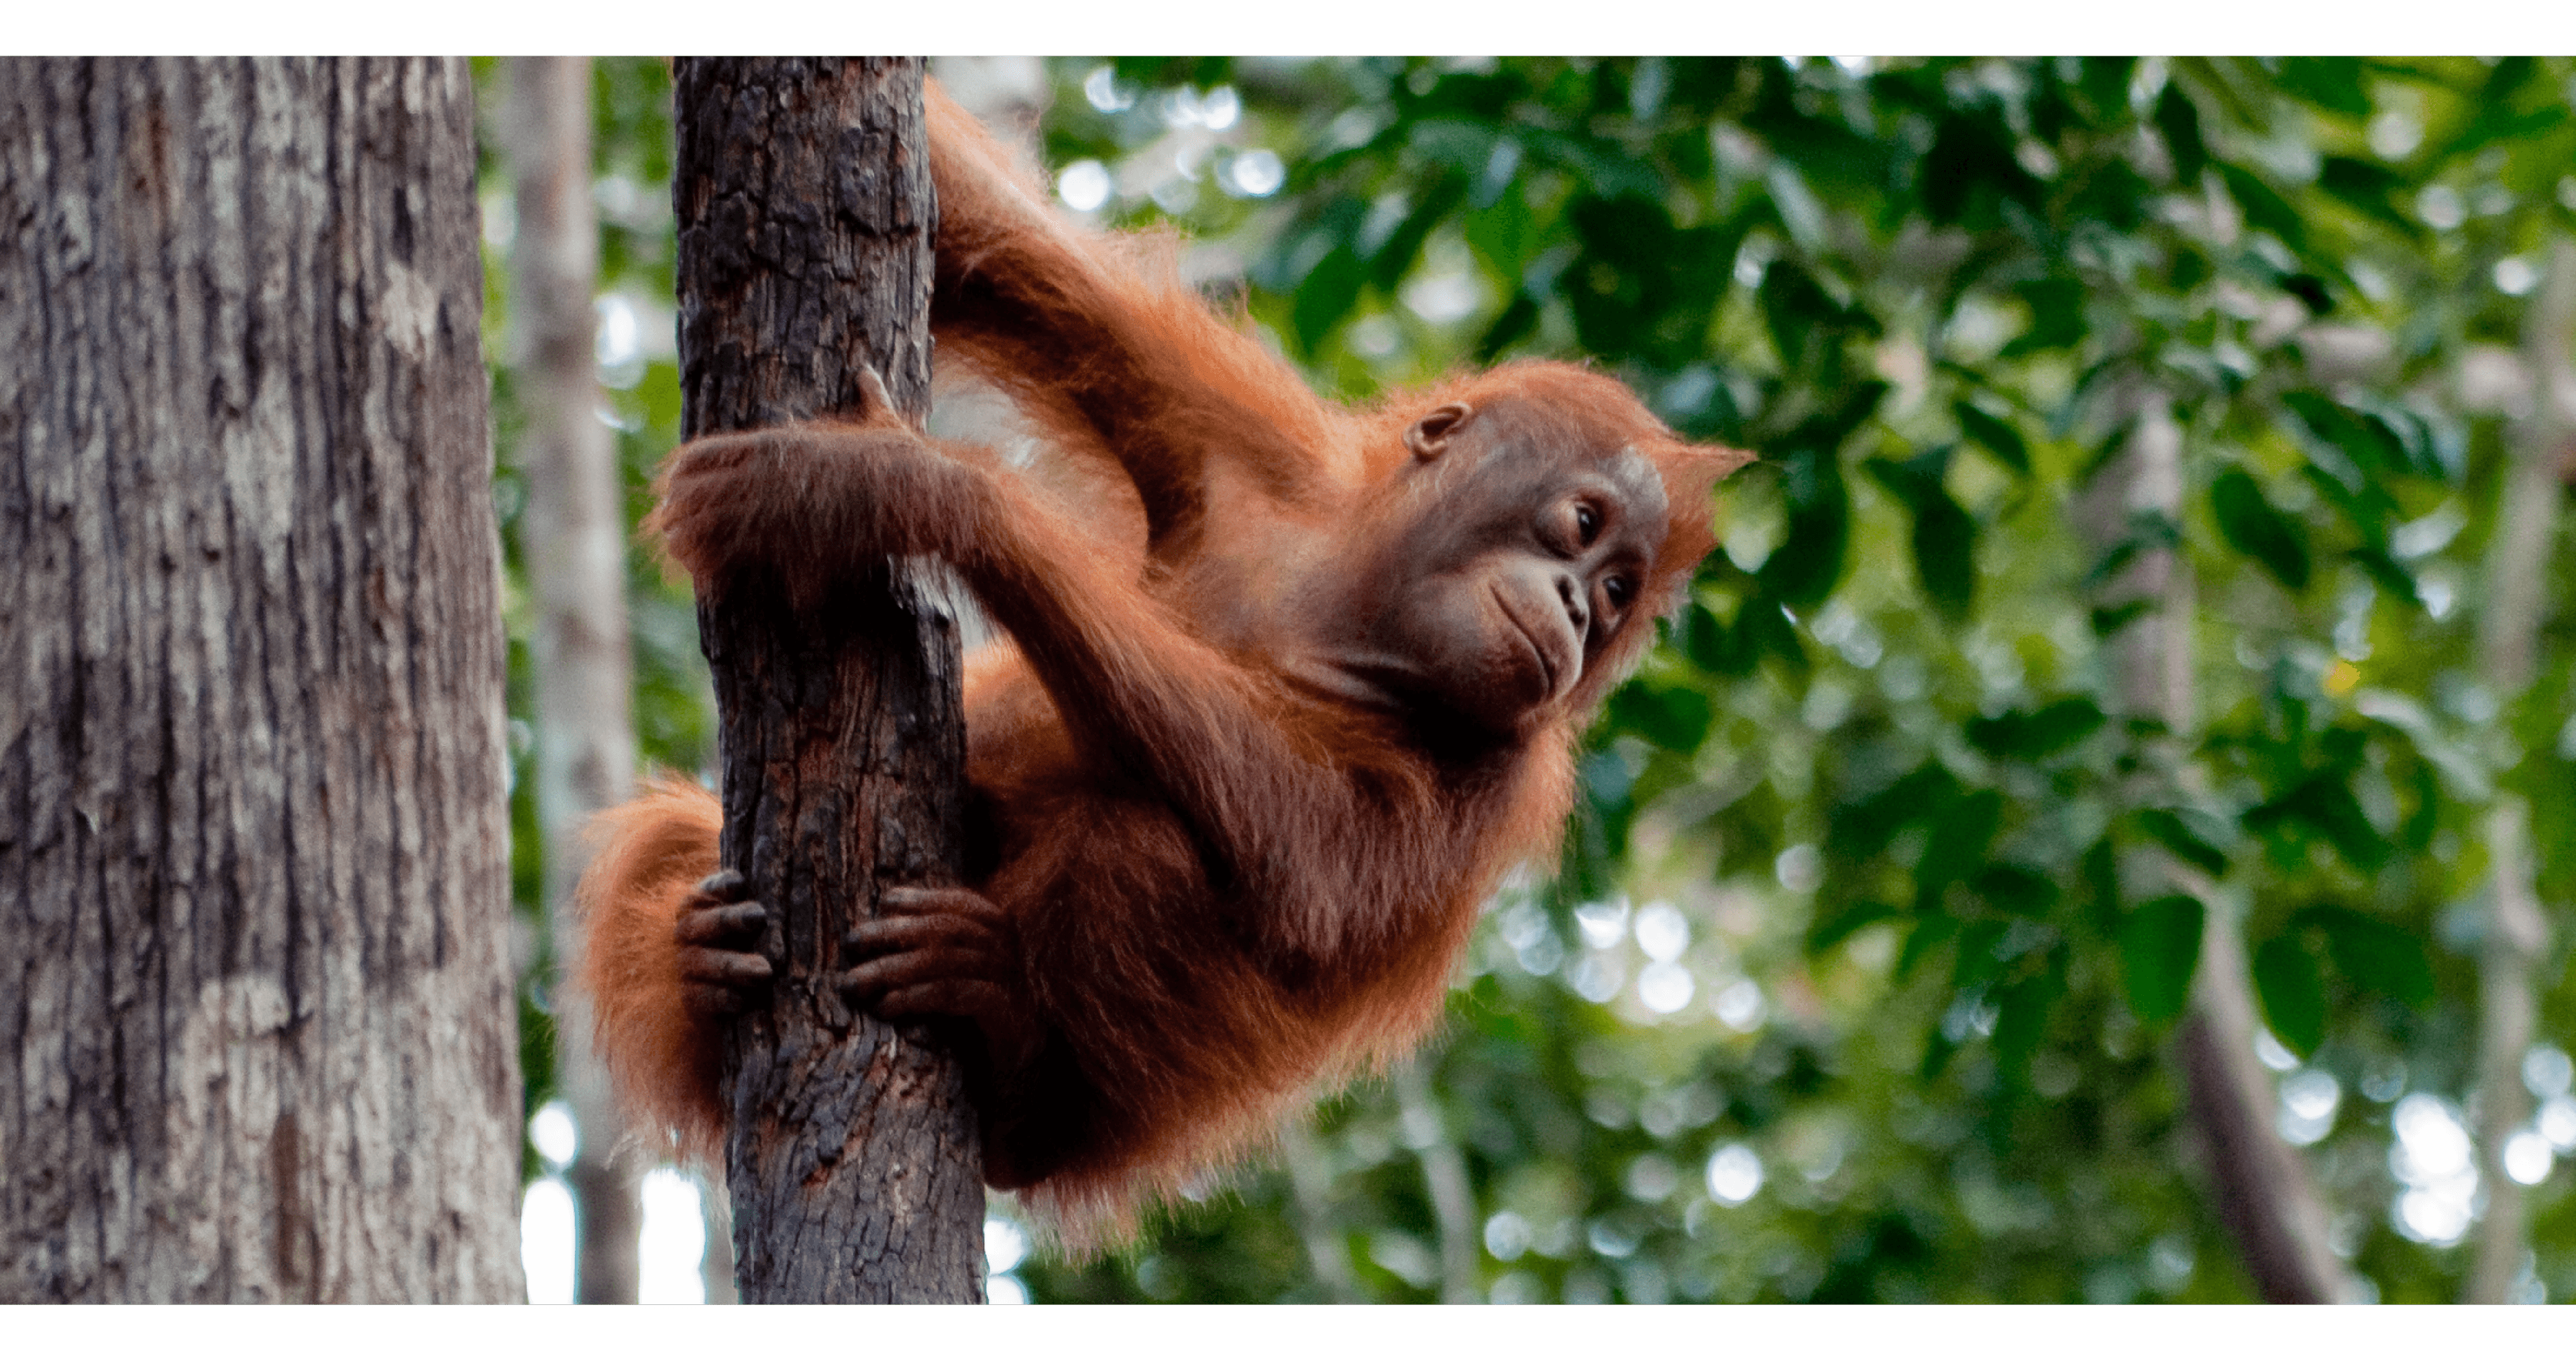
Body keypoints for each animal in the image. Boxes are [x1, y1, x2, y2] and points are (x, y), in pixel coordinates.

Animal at [574, 81, 1751, 1243]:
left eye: (1616, 595)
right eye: (1583, 526)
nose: (1576, 611)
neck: (1347, 610)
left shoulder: (1509, 770)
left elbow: (1316, 872)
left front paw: (900, 486)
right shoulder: (1229, 434)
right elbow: (1003, 245)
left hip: (1118, 1119)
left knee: (1143, 843)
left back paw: (1006, 1047)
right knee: (673, 840)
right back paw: (698, 959)